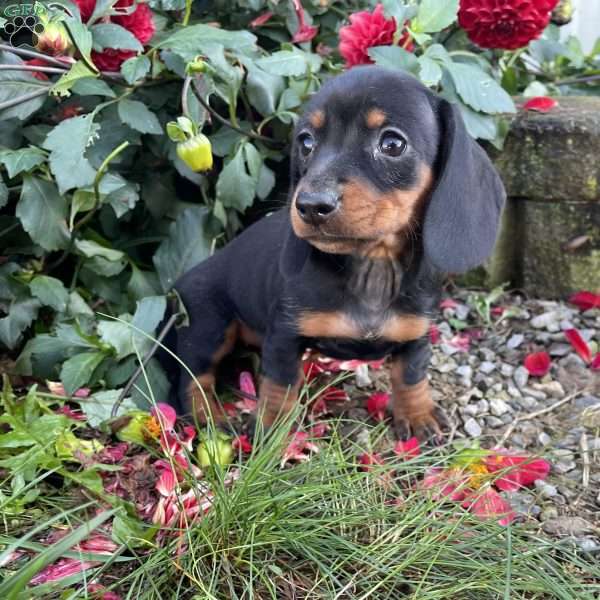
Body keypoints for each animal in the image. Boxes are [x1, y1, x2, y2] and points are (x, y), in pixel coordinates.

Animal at [161, 67, 506, 440]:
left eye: (392, 144)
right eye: (306, 142)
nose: (311, 205)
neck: (373, 266)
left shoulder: (416, 335)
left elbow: (411, 375)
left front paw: (417, 415)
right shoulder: (284, 335)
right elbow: (279, 385)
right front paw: (272, 429)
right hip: (206, 325)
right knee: (193, 378)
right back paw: (209, 419)